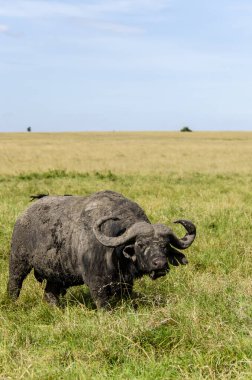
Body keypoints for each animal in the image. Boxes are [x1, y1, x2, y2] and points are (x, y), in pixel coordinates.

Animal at [7, 191, 197, 308]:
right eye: (140, 244)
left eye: (164, 246)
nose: (160, 264)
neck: (115, 254)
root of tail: (23, 216)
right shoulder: (95, 282)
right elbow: (103, 304)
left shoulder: (125, 283)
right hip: (18, 262)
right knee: (14, 285)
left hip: (57, 273)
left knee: (50, 293)